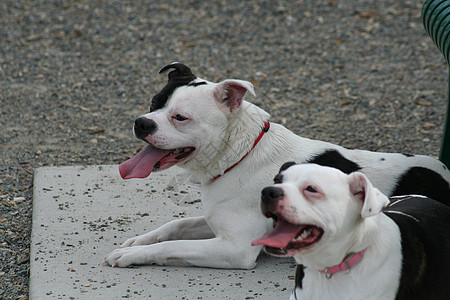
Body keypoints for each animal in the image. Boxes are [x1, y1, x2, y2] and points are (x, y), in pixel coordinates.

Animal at [103, 63, 450, 270]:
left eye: (180, 117)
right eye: (154, 103)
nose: (142, 123)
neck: (239, 153)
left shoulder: (235, 249)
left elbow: (173, 245)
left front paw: (132, 256)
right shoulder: (217, 222)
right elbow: (176, 226)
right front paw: (139, 241)